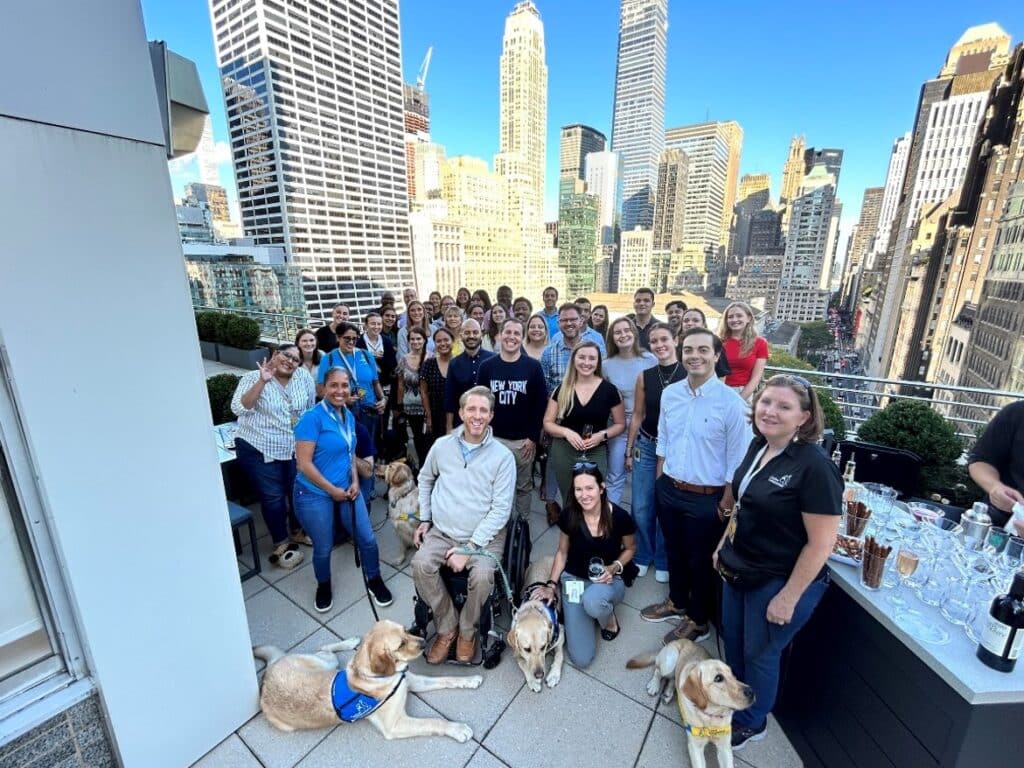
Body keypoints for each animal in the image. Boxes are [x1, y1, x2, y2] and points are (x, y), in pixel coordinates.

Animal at [253, 618, 481, 741]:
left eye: (406, 630)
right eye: (400, 644)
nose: (424, 642)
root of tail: (269, 671)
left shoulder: (410, 682)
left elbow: (446, 678)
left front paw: (470, 679)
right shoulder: (395, 725)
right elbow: (433, 721)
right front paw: (457, 729)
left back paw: (351, 642)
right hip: (324, 664)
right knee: (324, 649)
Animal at [505, 557, 565, 696]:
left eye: (543, 647)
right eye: (527, 649)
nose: (539, 675)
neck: (532, 610)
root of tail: (547, 556)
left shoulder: (561, 635)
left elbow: (560, 655)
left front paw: (554, 675)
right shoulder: (516, 652)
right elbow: (523, 664)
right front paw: (533, 681)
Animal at [622, 638, 753, 765]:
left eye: (733, 675)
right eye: (718, 678)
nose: (751, 692)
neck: (710, 716)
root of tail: (681, 640)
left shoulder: (724, 747)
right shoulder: (695, 747)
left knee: (673, 679)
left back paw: (668, 693)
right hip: (670, 662)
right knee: (658, 670)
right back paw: (654, 685)